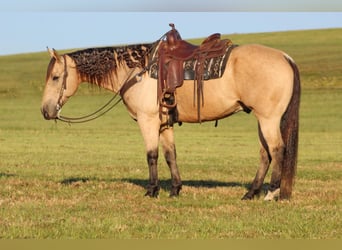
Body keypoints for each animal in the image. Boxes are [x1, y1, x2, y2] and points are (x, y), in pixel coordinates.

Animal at [41, 25, 300, 201]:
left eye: (55, 77)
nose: (45, 110)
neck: (137, 71)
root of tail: (285, 57)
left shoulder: (147, 121)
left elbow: (152, 155)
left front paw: (152, 190)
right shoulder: (165, 124)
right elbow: (170, 154)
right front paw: (175, 189)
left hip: (268, 119)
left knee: (277, 150)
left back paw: (271, 193)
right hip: (262, 119)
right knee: (265, 154)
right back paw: (251, 193)